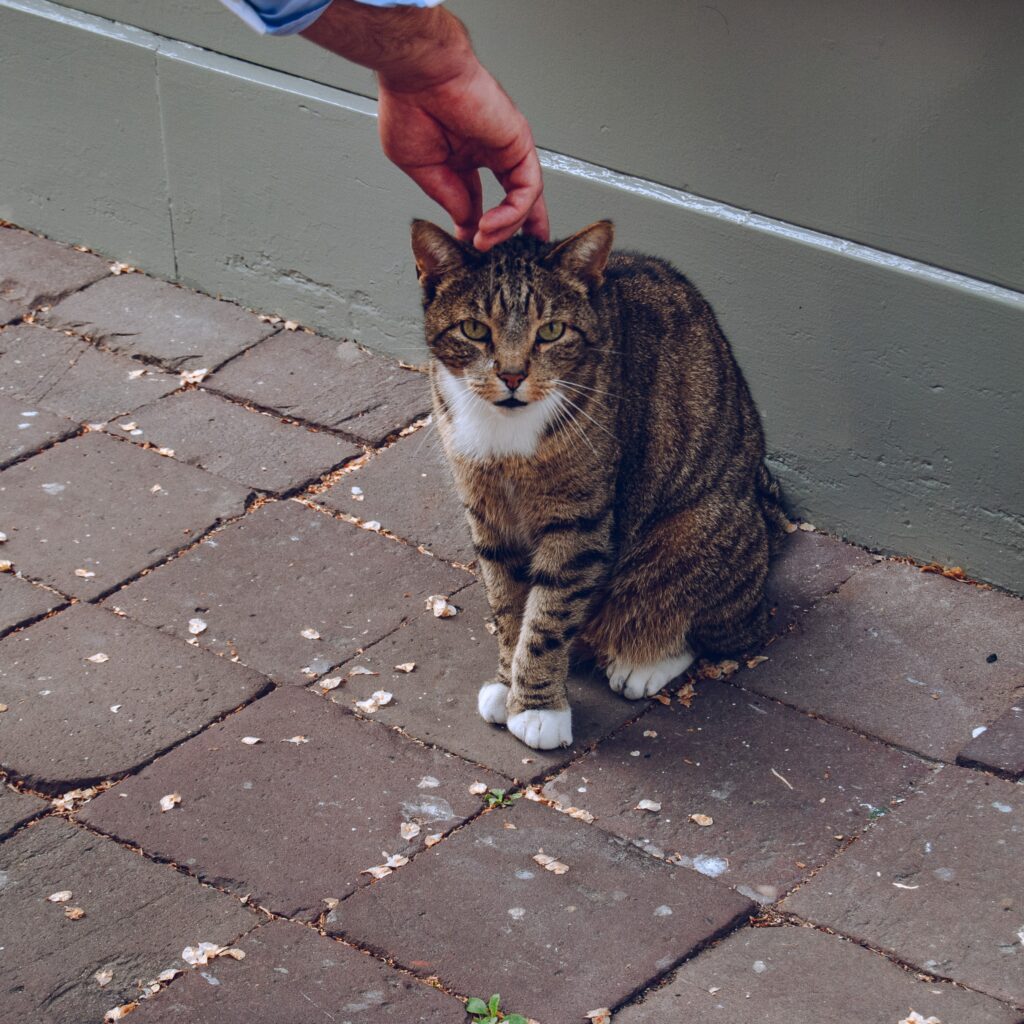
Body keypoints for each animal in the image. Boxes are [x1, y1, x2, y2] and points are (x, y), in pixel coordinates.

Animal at [407, 220, 782, 749]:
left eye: (551, 331)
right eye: (474, 330)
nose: (512, 375)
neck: (508, 435)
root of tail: (765, 511)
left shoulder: (577, 523)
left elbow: (546, 618)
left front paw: (537, 708)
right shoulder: (487, 515)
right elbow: (508, 607)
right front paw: (508, 682)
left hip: (693, 533)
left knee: (718, 630)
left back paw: (643, 663)